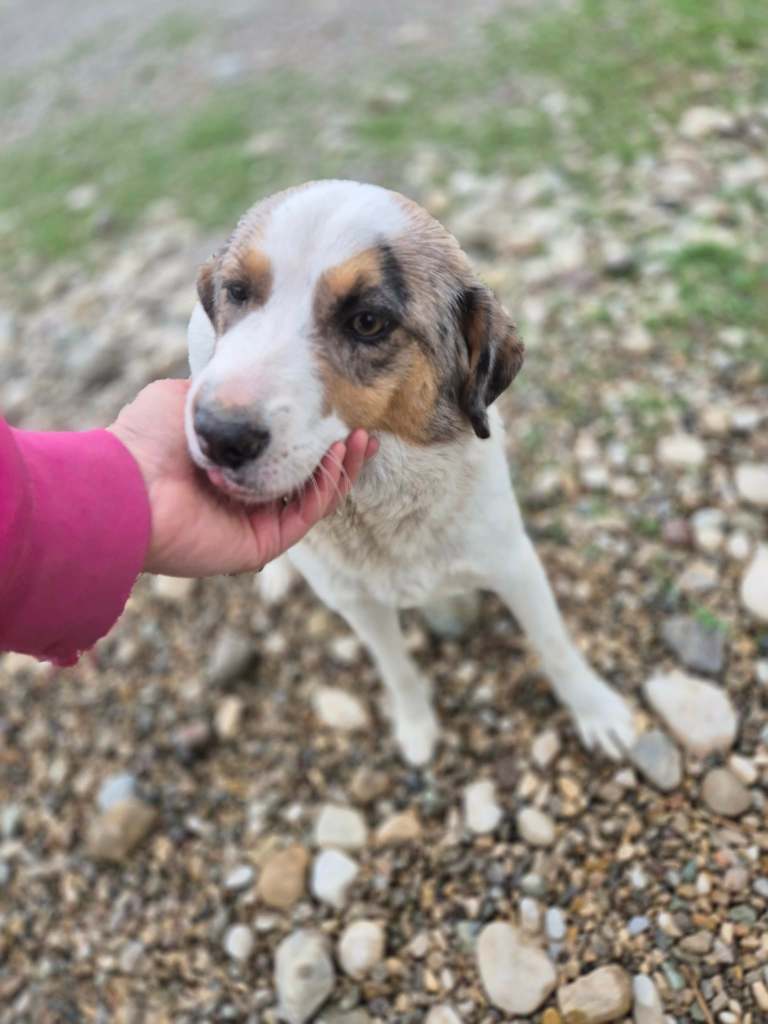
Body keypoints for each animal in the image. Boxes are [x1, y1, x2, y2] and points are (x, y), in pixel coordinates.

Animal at [186, 179, 636, 766]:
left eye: (367, 321)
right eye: (238, 292)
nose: (217, 434)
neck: (382, 500)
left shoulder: (514, 565)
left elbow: (554, 645)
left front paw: (595, 710)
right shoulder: (358, 603)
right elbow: (395, 668)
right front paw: (417, 727)